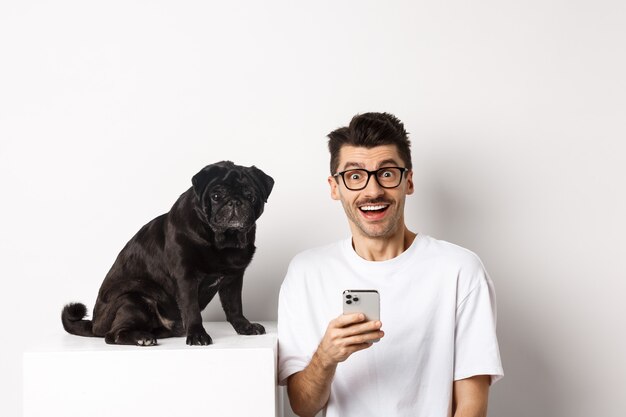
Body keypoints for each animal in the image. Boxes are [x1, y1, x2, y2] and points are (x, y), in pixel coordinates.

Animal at [62, 161, 272, 346]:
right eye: (216, 196)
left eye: (250, 195)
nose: (235, 201)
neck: (223, 241)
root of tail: (94, 324)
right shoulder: (186, 277)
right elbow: (192, 309)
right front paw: (197, 335)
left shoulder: (233, 278)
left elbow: (234, 307)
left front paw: (245, 327)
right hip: (133, 299)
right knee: (112, 335)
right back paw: (141, 338)